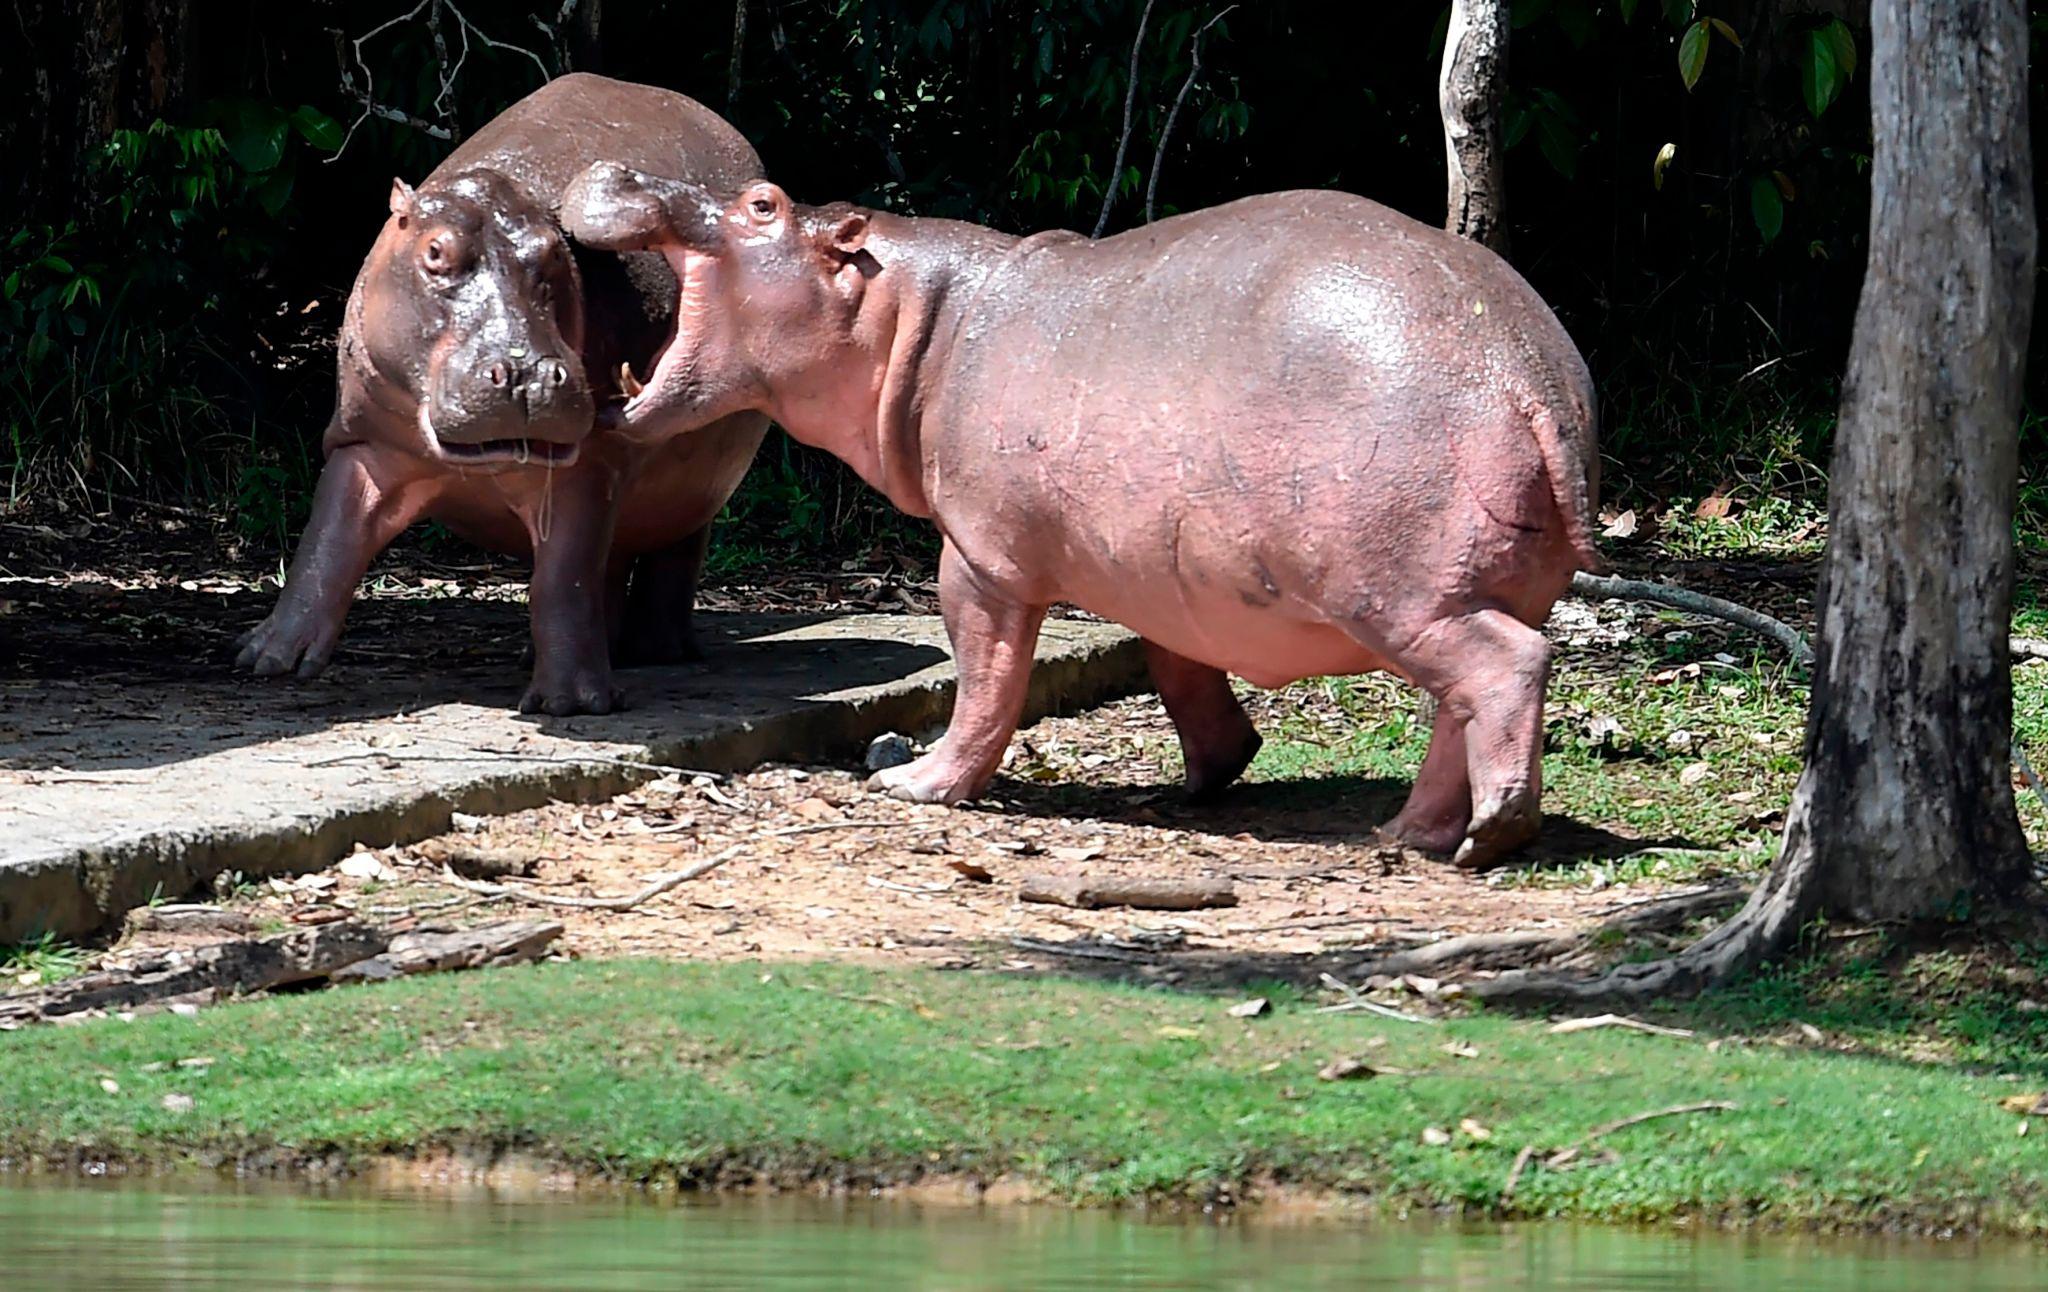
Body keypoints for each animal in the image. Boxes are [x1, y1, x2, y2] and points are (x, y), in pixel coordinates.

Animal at [235, 74, 767, 714]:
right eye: (434, 252)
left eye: (556, 256)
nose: (527, 373)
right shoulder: (364, 442)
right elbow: (328, 542)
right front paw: (265, 661)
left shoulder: (588, 467)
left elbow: (562, 579)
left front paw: (572, 704)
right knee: (615, 561)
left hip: (698, 481)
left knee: (669, 556)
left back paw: (657, 651)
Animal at [561, 168, 1600, 867]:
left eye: (762, 204)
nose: (620, 171)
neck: (909, 316)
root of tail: (1528, 377)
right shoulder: (1165, 569)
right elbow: (1179, 668)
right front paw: (1212, 775)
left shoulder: (978, 560)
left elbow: (985, 681)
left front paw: (917, 784)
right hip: (1464, 586)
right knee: (1461, 703)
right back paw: (1409, 833)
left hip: (1399, 594)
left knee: (1506, 669)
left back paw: (1483, 838)